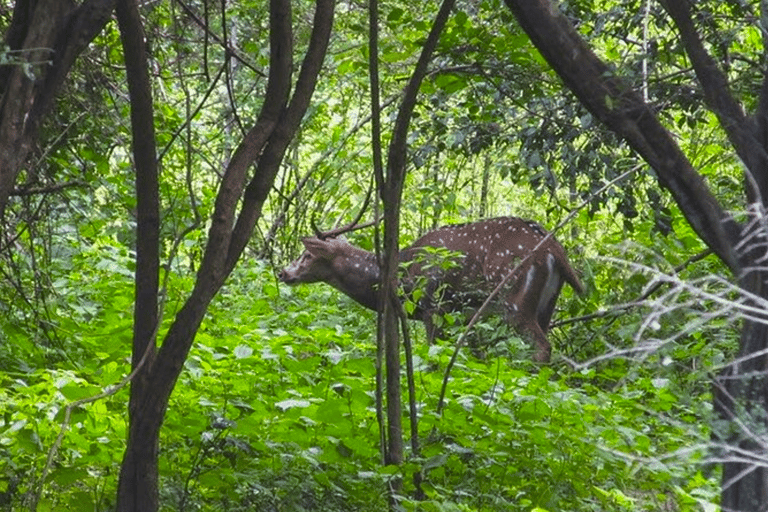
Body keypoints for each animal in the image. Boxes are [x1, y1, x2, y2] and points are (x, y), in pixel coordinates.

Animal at [280, 218, 584, 362]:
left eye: (307, 255)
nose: (283, 272)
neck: (402, 277)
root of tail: (554, 250)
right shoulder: (464, 316)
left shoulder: (433, 306)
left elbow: (433, 351)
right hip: (546, 305)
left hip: (514, 300)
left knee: (543, 346)